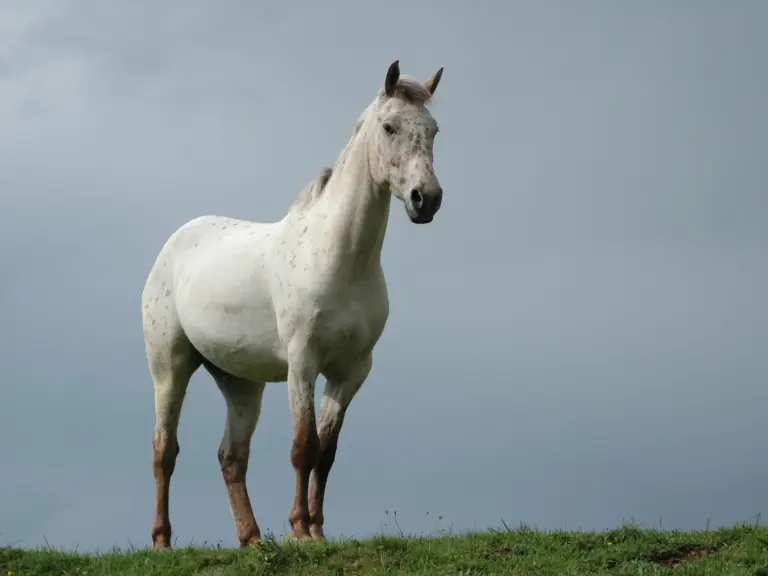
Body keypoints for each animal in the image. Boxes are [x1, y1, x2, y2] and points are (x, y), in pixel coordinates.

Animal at [141, 59, 445, 550]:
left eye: (434, 129)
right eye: (389, 126)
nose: (427, 199)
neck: (339, 259)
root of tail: (175, 244)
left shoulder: (351, 370)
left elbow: (327, 451)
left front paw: (317, 529)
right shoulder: (302, 363)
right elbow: (303, 446)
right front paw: (300, 529)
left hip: (241, 385)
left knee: (232, 457)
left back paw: (252, 540)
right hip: (169, 367)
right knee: (164, 450)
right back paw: (163, 541)